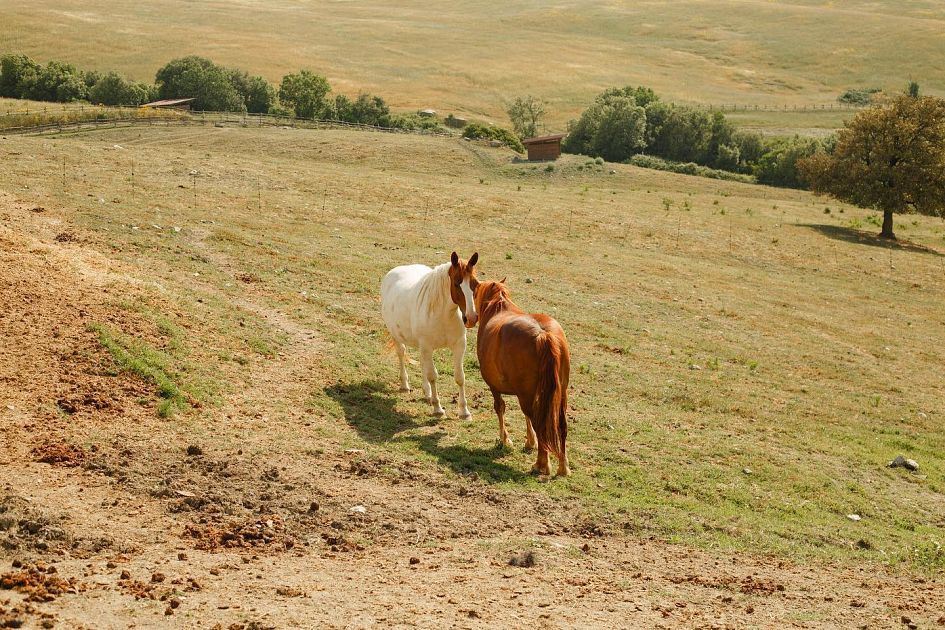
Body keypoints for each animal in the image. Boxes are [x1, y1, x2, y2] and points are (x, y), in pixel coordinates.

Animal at [380, 252, 480, 420]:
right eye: (456, 284)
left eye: (475, 284)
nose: (471, 318)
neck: (444, 315)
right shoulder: (427, 346)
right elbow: (433, 375)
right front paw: (438, 409)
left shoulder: (459, 345)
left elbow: (459, 377)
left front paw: (464, 412)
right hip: (397, 336)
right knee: (401, 354)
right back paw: (405, 385)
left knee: (422, 364)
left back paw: (427, 393)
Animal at [476, 278, 572, 476]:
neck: (499, 307)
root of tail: (543, 334)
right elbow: (526, 416)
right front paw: (530, 441)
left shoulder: (495, 387)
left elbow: (500, 408)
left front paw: (505, 440)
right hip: (560, 394)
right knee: (560, 425)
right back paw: (563, 467)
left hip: (527, 395)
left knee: (539, 422)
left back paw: (542, 464)